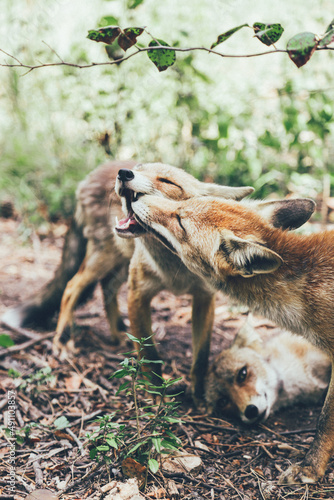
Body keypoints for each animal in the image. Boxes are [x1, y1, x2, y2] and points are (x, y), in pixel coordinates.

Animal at [0, 160, 253, 402]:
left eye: (168, 181)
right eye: (139, 168)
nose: (124, 173)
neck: (174, 271)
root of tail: (92, 174)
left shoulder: (204, 298)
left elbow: (201, 358)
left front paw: (200, 398)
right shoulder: (137, 293)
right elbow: (149, 355)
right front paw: (157, 398)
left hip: (121, 263)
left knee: (106, 288)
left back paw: (117, 334)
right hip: (104, 258)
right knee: (72, 287)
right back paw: (63, 339)